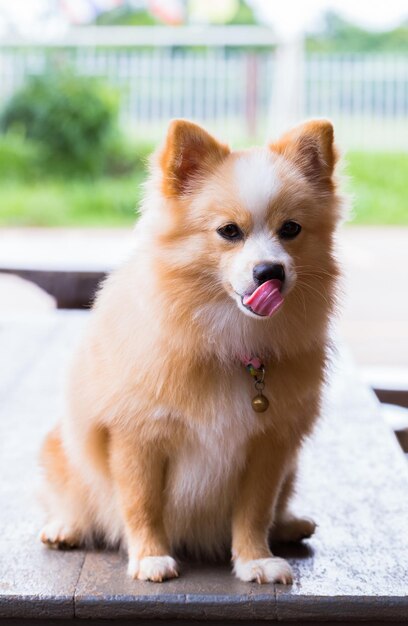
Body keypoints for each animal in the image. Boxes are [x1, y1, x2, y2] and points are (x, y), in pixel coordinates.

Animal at [40, 119, 342, 584]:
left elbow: (255, 511)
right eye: (229, 232)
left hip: (291, 469)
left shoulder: (269, 446)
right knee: (77, 496)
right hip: (60, 448)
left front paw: (255, 559)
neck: (231, 342)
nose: (270, 271)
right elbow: (141, 503)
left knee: (278, 507)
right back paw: (65, 527)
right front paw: (149, 557)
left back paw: (289, 524)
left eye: (290, 229)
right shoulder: (136, 436)